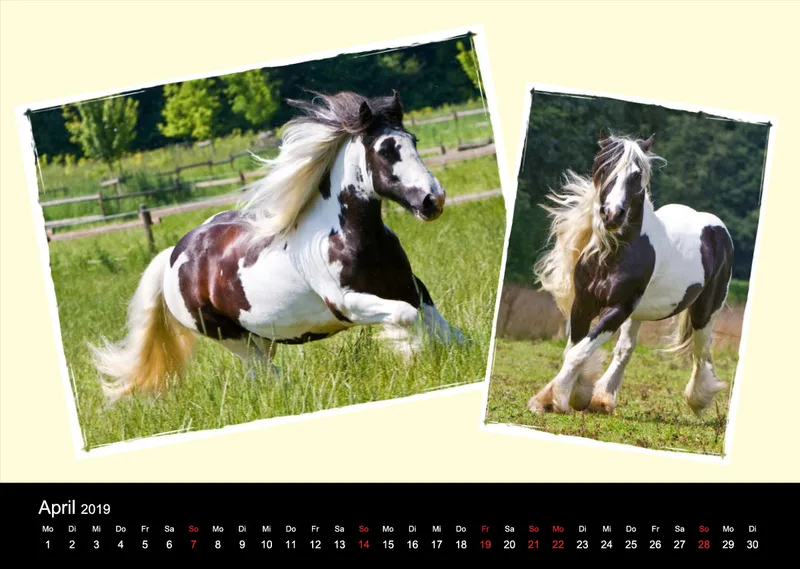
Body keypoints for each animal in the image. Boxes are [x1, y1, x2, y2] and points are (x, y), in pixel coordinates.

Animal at [90, 90, 466, 402]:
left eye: (413, 140)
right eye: (385, 150)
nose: (433, 199)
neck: (352, 238)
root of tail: (172, 256)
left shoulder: (409, 286)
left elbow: (444, 327)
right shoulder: (347, 305)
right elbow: (405, 317)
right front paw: (410, 352)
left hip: (261, 336)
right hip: (234, 339)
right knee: (268, 376)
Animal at [527, 129, 733, 417]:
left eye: (636, 175)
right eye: (603, 167)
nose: (612, 215)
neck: (612, 255)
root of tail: (716, 228)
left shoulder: (618, 308)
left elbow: (579, 352)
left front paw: (551, 399)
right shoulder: (583, 304)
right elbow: (574, 349)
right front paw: (577, 394)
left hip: (705, 311)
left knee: (701, 351)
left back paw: (698, 399)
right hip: (638, 314)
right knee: (626, 349)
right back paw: (602, 399)